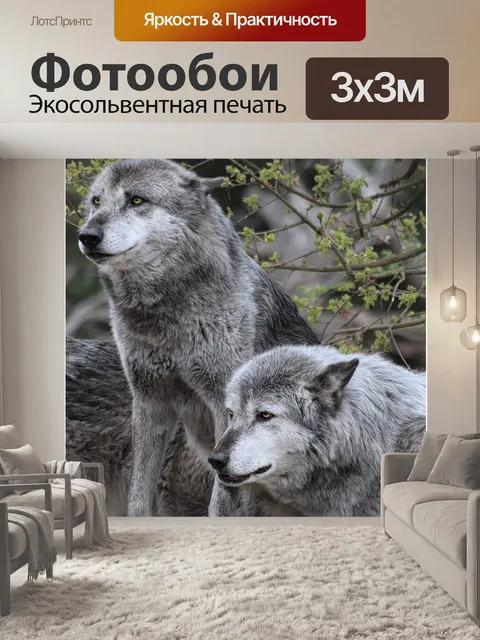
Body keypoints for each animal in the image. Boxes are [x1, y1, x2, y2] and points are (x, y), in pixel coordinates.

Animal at [77, 158, 318, 516]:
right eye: (96, 201)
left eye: (136, 200)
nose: (87, 235)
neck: (164, 317)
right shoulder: (149, 401)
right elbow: (139, 493)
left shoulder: (223, 409)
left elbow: (221, 503)